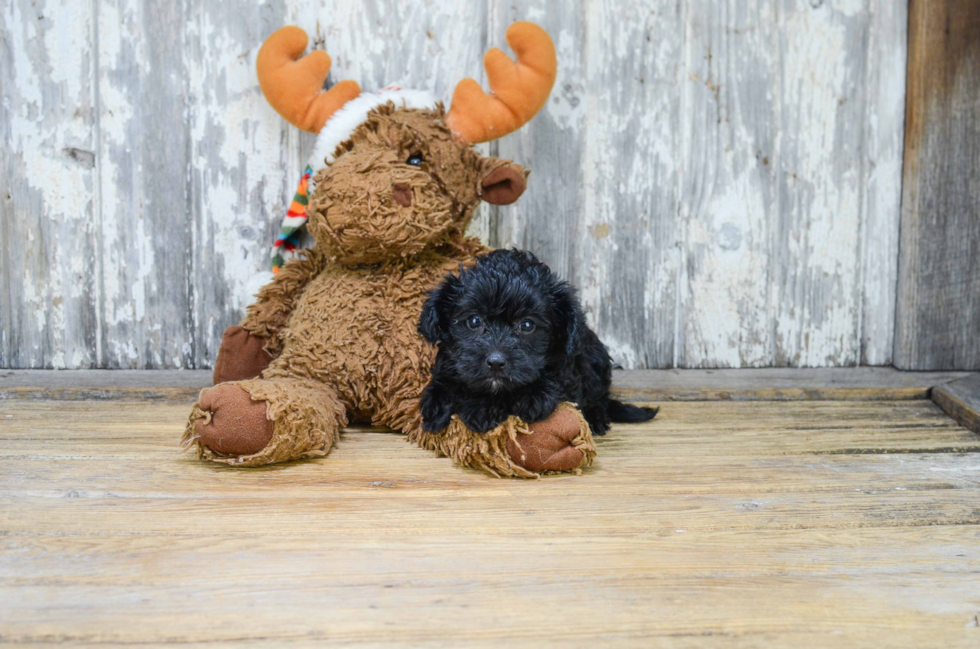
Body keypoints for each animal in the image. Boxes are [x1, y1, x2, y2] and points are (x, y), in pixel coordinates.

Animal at [416, 248, 660, 436]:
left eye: (527, 325)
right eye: (474, 321)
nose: (495, 362)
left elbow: (554, 377)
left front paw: (531, 397)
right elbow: (445, 387)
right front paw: (462, 406)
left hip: (596, 360)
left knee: (598, 398)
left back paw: (596, 419)